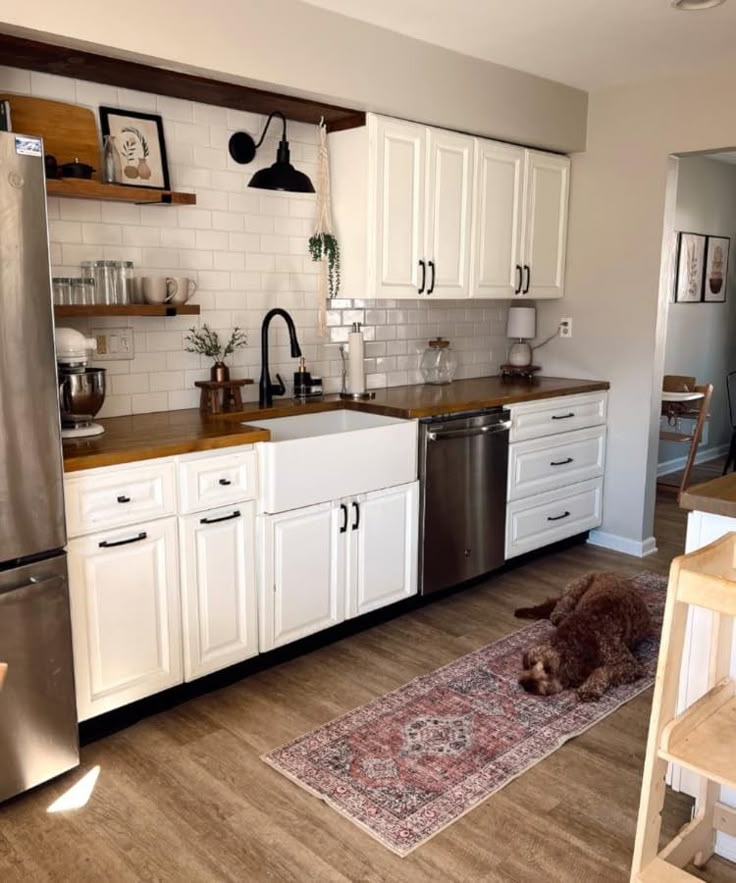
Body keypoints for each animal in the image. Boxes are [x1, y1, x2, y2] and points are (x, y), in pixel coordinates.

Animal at [516, 572, 652, 704]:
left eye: (548, 669)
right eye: (531, 664)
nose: (526, 684)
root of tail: (605, 572)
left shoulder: (630, 665)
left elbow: (602, 670)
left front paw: (588, 689)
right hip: (575, 590)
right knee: (556, 611)